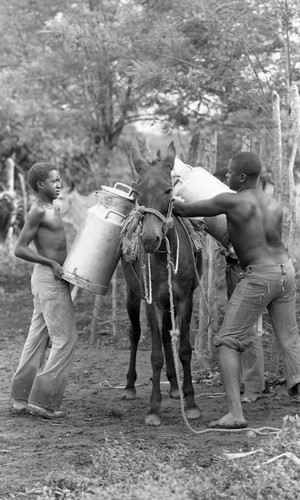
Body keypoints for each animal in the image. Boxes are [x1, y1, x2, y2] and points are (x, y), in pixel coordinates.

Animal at [120, 143, 203, 428]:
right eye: (136, 193)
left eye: (169, 190)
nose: (149, 239)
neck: (163, 256)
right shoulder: (151, 301)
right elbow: (154, 354)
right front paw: (153, 408)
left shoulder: (185, 299)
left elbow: (185, 349)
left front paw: (191, 402)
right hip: (132, 295)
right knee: (134, 333)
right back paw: (129, 387)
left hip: (170, 302)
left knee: (168, 334)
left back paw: (175, 387)